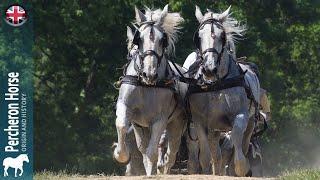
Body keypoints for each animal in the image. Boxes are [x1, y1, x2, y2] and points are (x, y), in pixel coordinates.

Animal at [114, 4, 188, 176]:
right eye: (139, 39)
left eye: (162, 40)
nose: (150, 74)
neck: (146, 85)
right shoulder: (130, 113)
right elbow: (122, 126)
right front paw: (121, 155)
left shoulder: (160, 119)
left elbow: (151, 152)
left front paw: (152, 170)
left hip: (176, 125)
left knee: (171, 153)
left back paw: (163, 169)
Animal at [184, 5, 262, 176]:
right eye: (199, 36)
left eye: (222, 35)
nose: (209, 69)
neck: (216, 85)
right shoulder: (199, 121)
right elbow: (206, 156)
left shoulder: (240, 116)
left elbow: (237, 149)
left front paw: (241, 169)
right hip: (213, 128)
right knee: (215, 154)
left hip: (250, 123)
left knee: (243, 145)